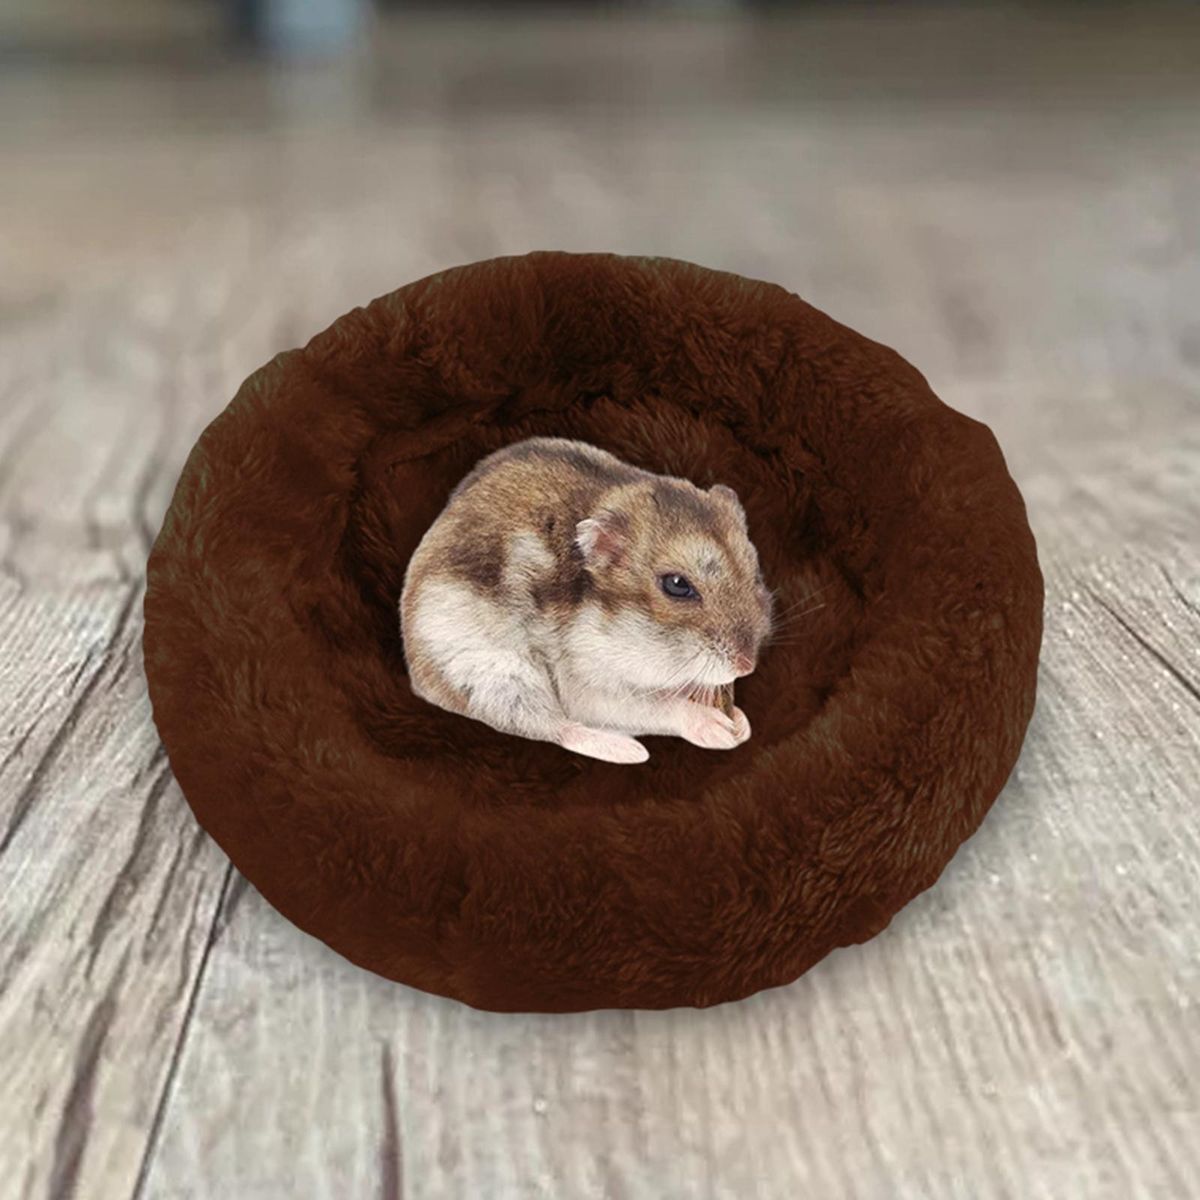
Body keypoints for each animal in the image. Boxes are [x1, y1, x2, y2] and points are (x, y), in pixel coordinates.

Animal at [399, 437, 774, 764]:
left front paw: (741, 723)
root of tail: (419, 681)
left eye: (755, 572)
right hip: (496, 677)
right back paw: (629, 750)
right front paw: (722, 729)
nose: (746, 666)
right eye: (677, 585)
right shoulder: (585, 683)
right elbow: (656, 706)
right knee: (554, 727)